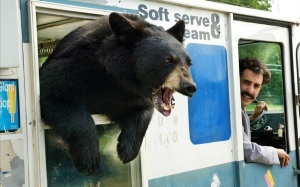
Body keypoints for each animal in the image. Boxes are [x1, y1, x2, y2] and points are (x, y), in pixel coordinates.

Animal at [39, 12, 197, 175]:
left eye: (189, 63)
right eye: (168, 60)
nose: (190, 87)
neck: (116, 77)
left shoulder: (129, 95)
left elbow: (143, 110)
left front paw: (127, 150)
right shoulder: (75, 67)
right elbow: (55, 95)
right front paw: (88, 158)